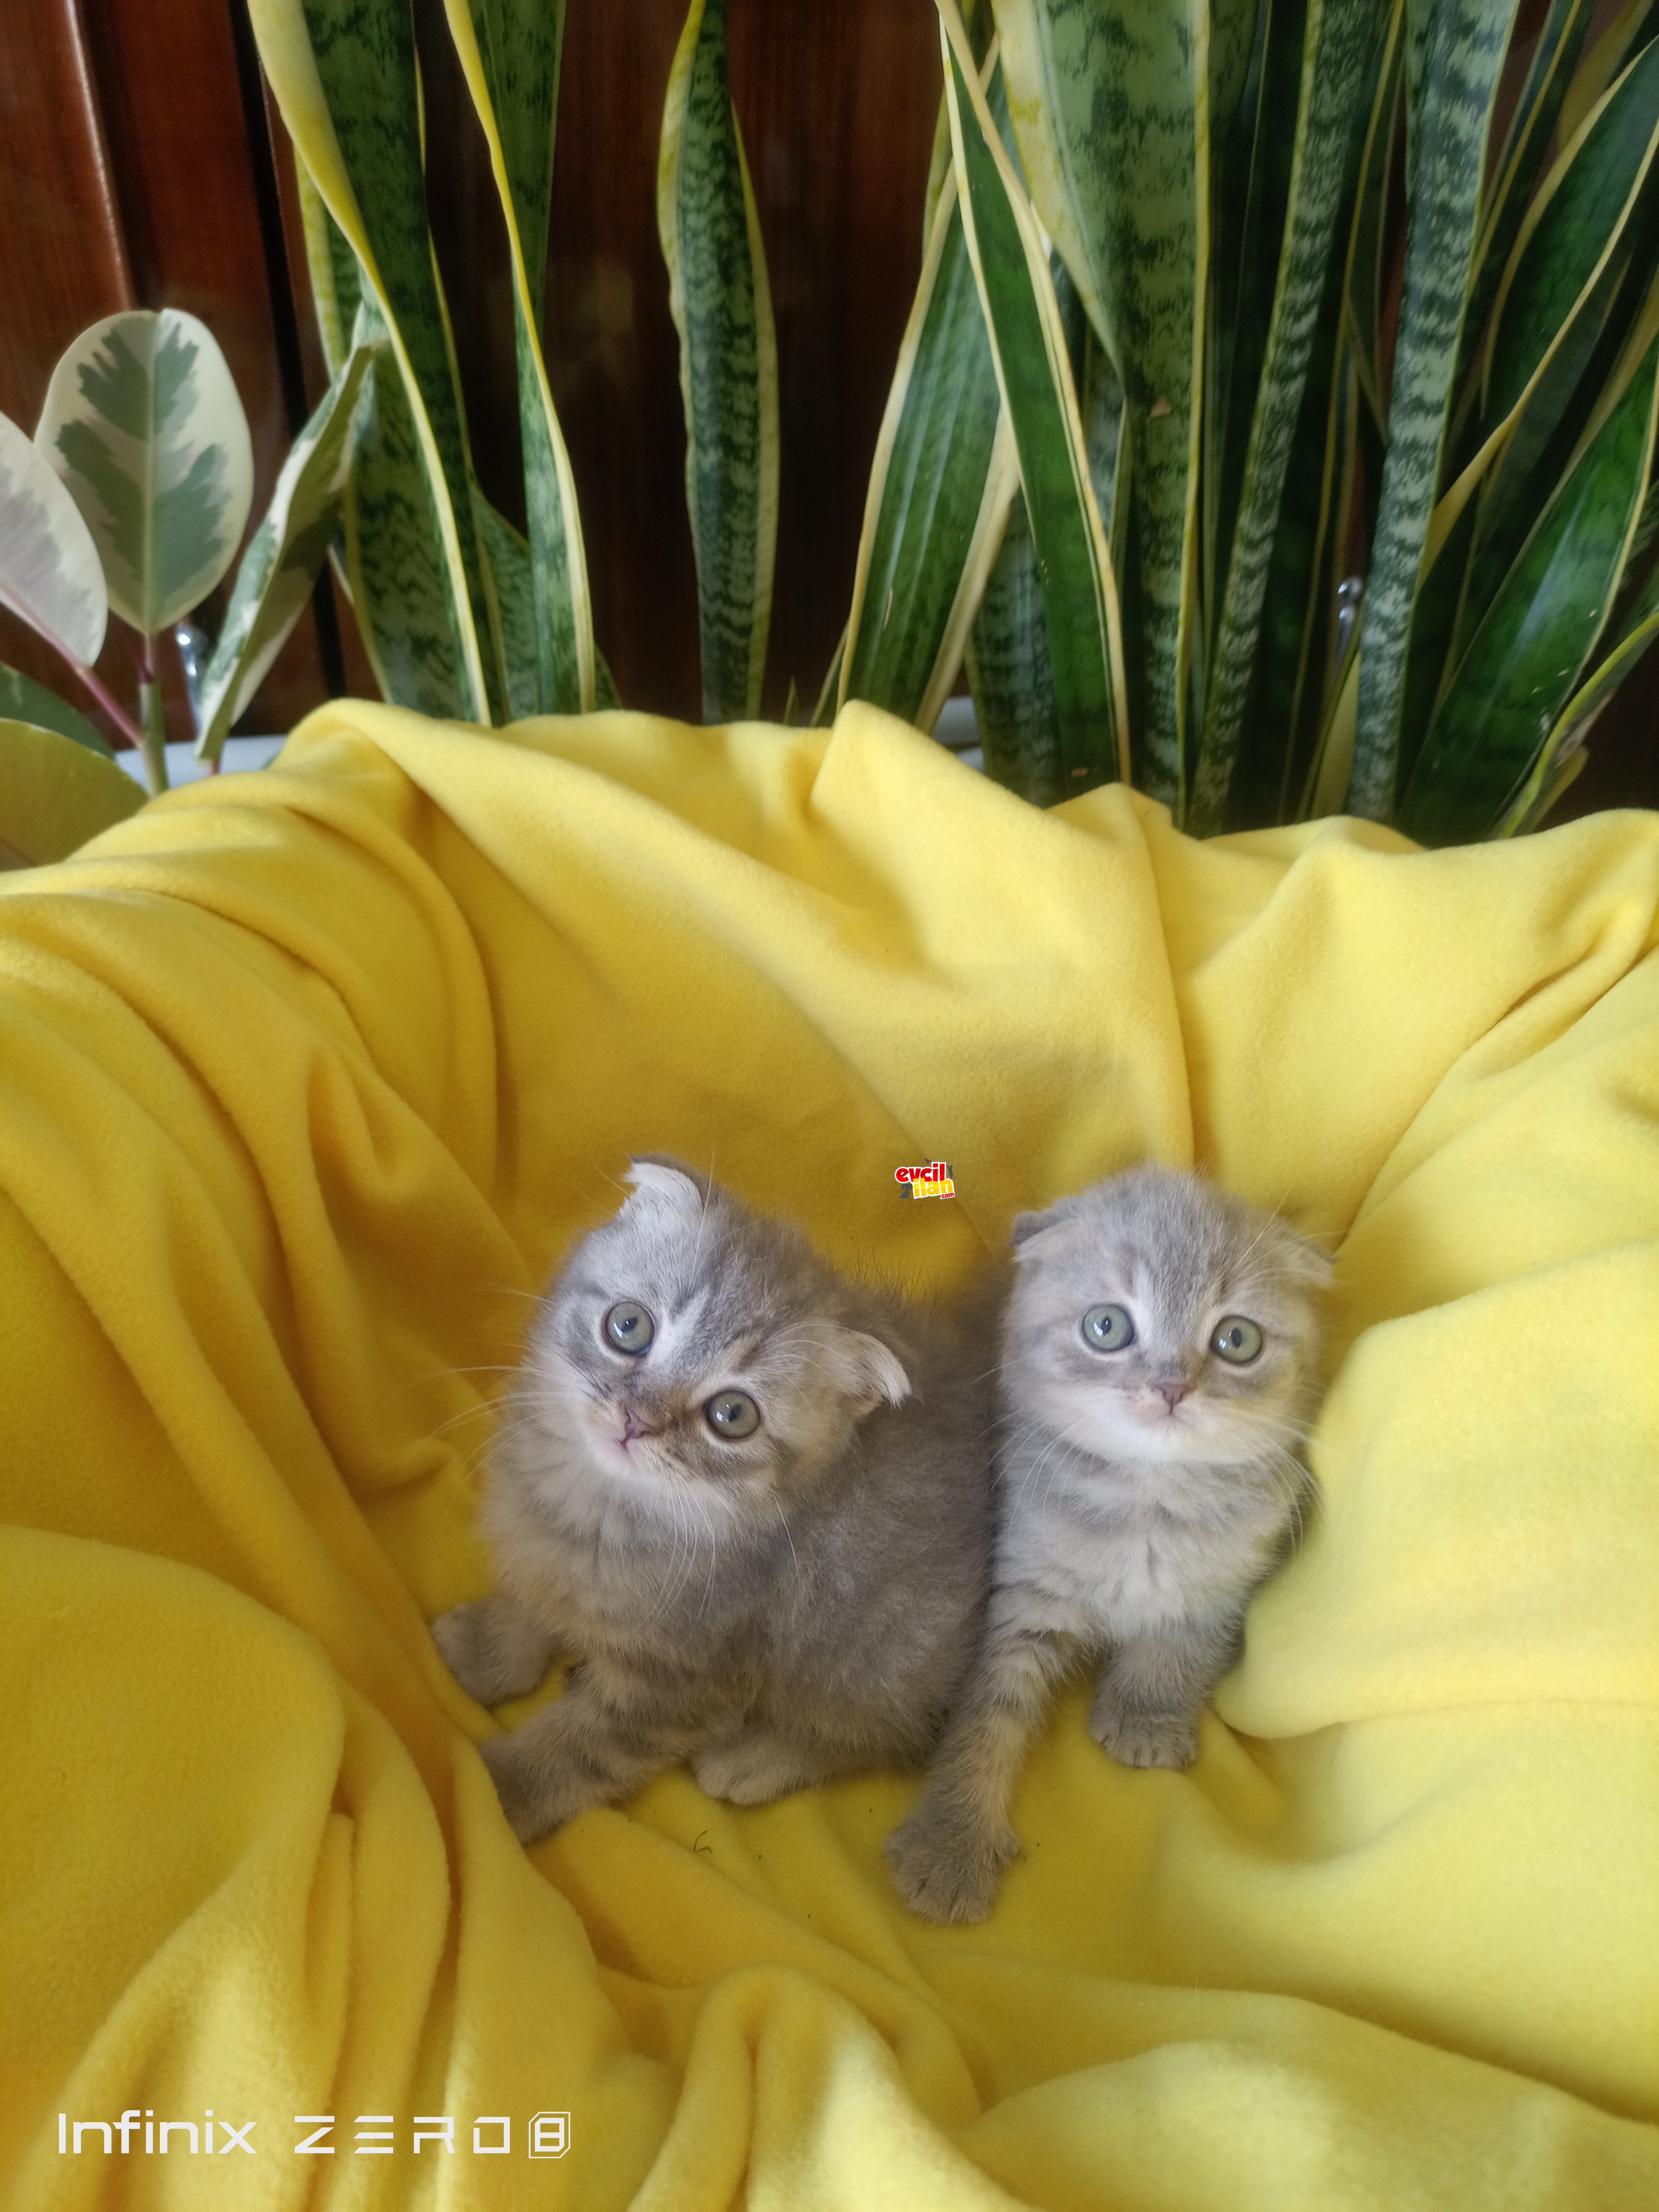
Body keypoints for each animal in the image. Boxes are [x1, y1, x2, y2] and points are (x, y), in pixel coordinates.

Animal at [435, 1159, 995, 1849]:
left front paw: (498, 1794)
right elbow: (531, 1598)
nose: (637, 1420)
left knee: (888, 1733)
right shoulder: (542, 1550)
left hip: (878, 1651)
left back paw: (760, 1757)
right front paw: (488, 1649)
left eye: (732, 1415)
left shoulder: (686, 1680)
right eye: (629, 1326)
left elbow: (578, 1751)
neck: (601, 1503)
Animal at [889, 1168, 1336, 1929]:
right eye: (1107, 1327)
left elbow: (1178, 1648)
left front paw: (1146, 1715)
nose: (1171, 1387)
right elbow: (986, 1722)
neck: (1147, 1501)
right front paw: (949, 1845)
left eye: (1236, 1339)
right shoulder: (1023, 1597)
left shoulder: (1219, 1585)